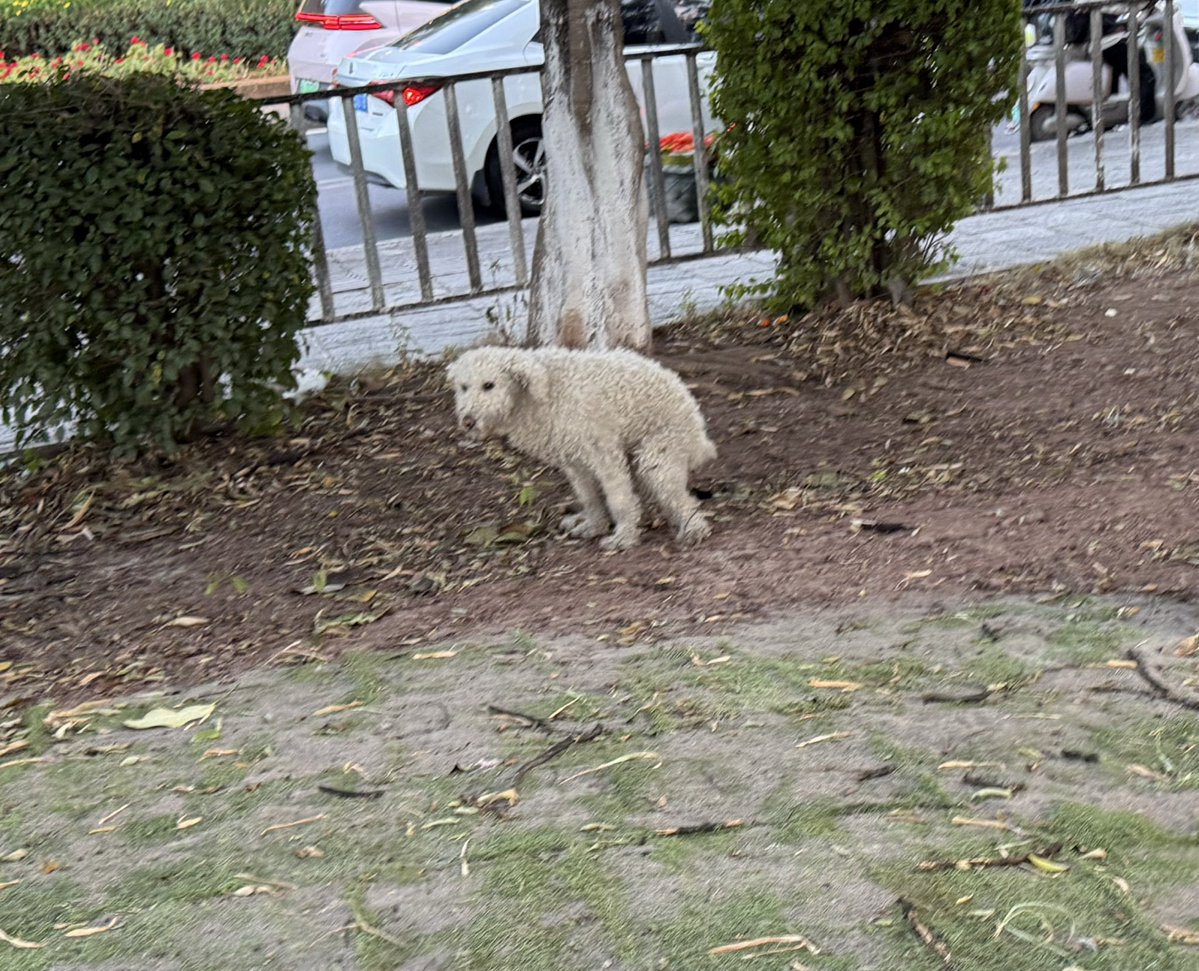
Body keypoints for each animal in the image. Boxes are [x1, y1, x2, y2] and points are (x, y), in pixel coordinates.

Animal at [447, 346, 717, 551]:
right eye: (463, 387)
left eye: (489, 385)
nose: (467, 421)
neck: (542, 394)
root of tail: (700, 435)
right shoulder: (575, 462)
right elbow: (589, 497)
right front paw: (594, 525)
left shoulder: (604, 455)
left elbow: (619, 499)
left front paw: (623, 537)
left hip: (657, 456)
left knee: (681, 499)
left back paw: (693, 528)